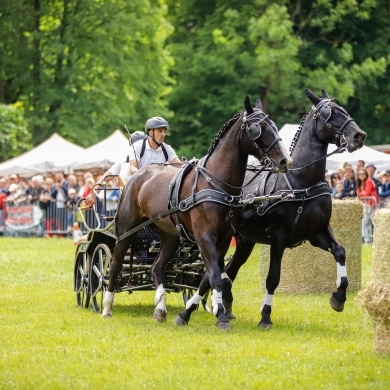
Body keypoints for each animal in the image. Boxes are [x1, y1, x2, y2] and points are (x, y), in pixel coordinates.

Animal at [100, 94, 292, 330]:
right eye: (259, 128)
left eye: (274, 125)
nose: (285, 161)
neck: (217, 184)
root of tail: (137, 176)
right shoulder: (204, 236)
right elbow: (216, 276)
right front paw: (221, 317)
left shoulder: (223, 239)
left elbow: (211, 276)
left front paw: (206, 311)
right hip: (127, 229)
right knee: (115, 264)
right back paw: (107, 308)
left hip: (170, 236)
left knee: (156, 267)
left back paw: (160, 309)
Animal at [175, 89, 368, 330]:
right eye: (329, 114)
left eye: (344, 110)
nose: (359, 135)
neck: (300, 182)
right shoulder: (279, 237)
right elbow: (273, 277)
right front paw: (265, 316)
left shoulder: (318, 232)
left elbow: (341, 251)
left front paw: (339, 297)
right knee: (213, 274)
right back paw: (190, 312)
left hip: (243, 242)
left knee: (223, 273)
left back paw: (220, 310)